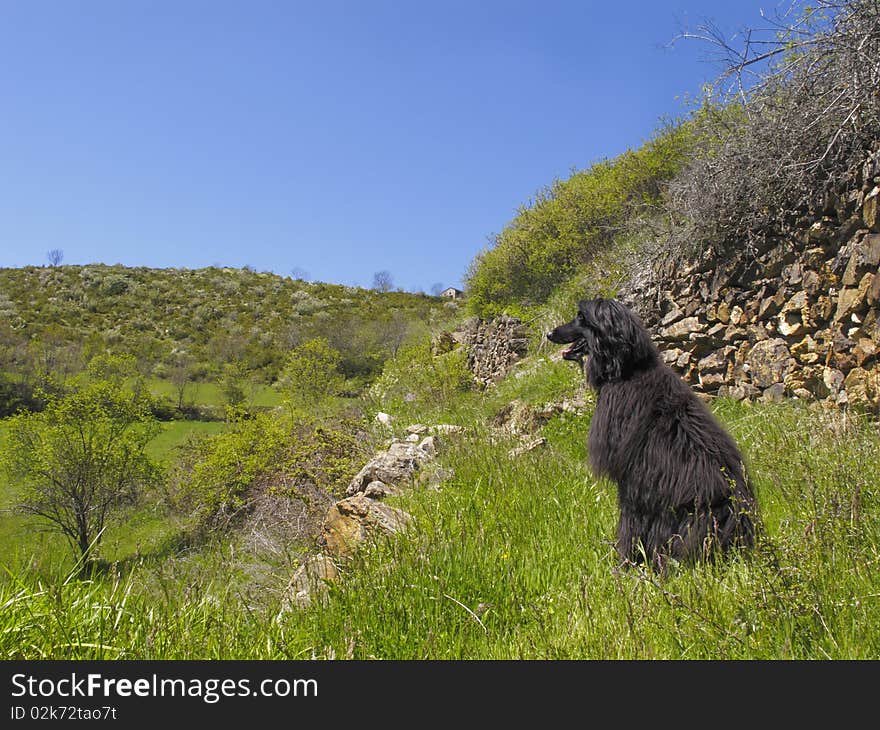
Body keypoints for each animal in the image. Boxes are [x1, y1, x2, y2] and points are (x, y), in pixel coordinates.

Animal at [548, 298, 752, 564]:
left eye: (581, 317)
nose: (549, 334)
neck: (628, 371)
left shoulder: (632, 479)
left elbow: (629, 522)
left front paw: (624, 561)